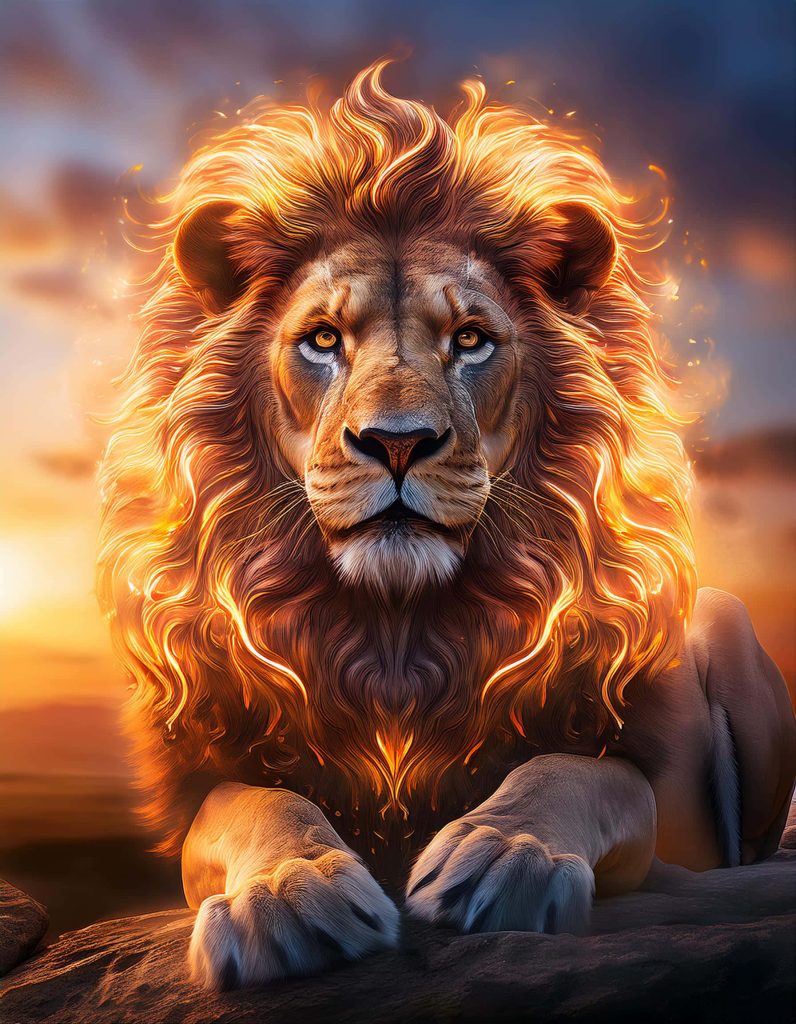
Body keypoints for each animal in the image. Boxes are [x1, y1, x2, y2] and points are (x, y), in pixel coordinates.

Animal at [97, 62, 796, 990]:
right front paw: (287, 896)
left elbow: (573, 772)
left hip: (729, 624)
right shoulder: (206, 773)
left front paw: (501, 856)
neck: (398, 632)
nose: (398, 442)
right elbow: (254, 803)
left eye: (470, 340)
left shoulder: (638, 776)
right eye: (323, 340)